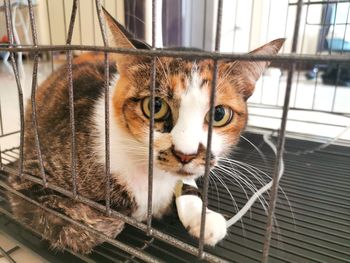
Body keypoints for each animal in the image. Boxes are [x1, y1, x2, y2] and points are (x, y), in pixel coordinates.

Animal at [5, 9, 284, 255]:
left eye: (219, 114)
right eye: (155, 106)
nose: (186, 154)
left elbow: (187, 184)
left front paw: (203, 218)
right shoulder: (30, 178)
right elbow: (97, 222)